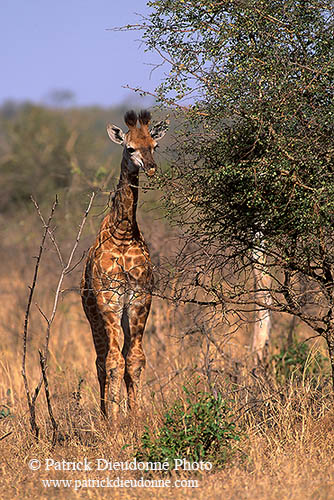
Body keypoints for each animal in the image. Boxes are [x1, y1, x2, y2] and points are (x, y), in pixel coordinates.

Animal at [81, 111, 167, 420]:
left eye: (154, 145)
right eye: (130, 148)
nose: (151, 168)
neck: (123, 233)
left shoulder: (140, 298)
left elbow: (135, 360)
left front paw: (135, 415)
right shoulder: (109, 300)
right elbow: (113, 362)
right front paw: (115, 420)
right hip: (92, 314)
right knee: (100, 360)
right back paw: (105, 414)